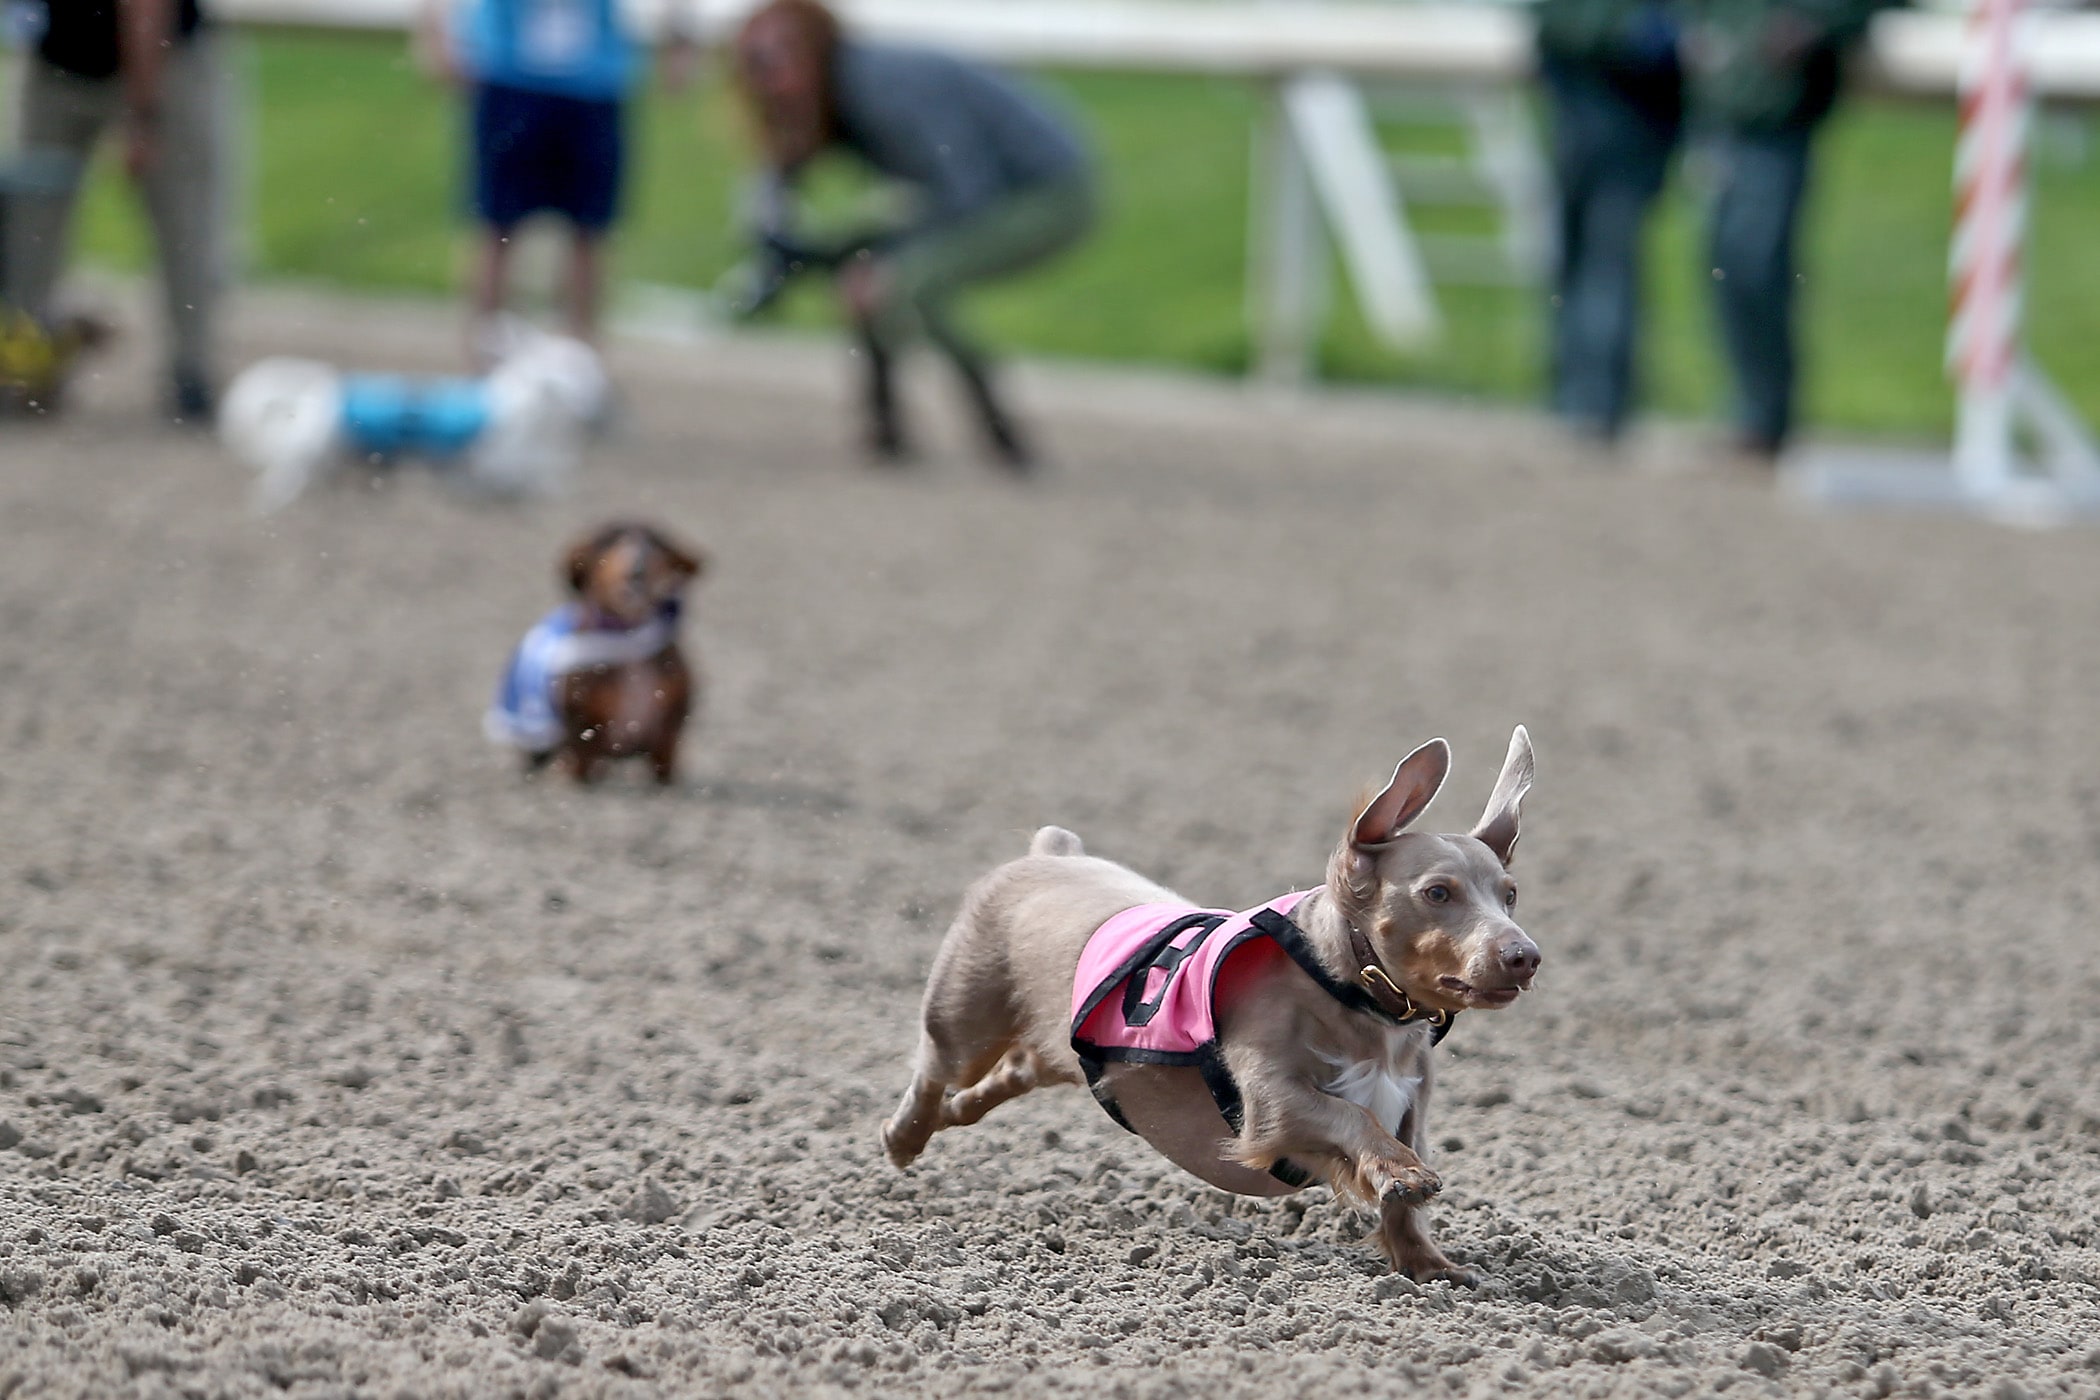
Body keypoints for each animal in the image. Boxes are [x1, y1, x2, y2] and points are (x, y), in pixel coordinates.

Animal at [485, 522, 705, 789]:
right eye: (608, 541)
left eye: (656, 543)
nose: (638, 564)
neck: (628, 638)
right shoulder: (582, 726)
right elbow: (579, 758)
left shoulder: (669, 729)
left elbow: (664, 762)